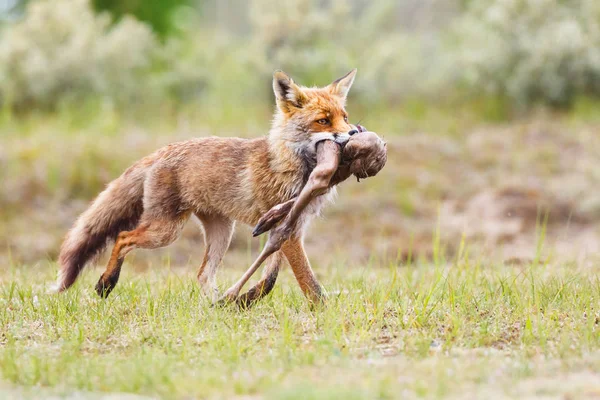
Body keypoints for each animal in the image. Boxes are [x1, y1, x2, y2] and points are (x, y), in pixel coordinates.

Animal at [55, 69, 356, 304]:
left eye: (345, 117)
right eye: (323, 121)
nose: (354, 132)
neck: (291, 164)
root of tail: (164, 150)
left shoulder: (290, 229)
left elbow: (270, 279)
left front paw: (246, 300)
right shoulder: (288, 229)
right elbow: (309, 283)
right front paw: (322, 313)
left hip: (221, 234)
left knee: (202, 275)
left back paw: (214, 306)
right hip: (166, 231)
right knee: (123, 237)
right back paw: (106, 283)